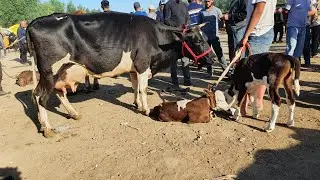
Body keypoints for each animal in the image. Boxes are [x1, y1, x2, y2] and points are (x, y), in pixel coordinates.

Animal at [27, 11, 215, 137]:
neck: (156, 37)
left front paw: (137, 104)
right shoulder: (142, 64)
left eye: (205, 38)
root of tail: (35, 22)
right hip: (49, 71)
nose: (213, 57)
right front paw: (146, 109)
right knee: (40, 95)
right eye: (197, 40)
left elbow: (135, 87)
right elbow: (143, 89)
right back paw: (47, 128)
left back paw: (72, 114)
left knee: (57, 93)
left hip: (61, 72)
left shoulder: (133, 69)